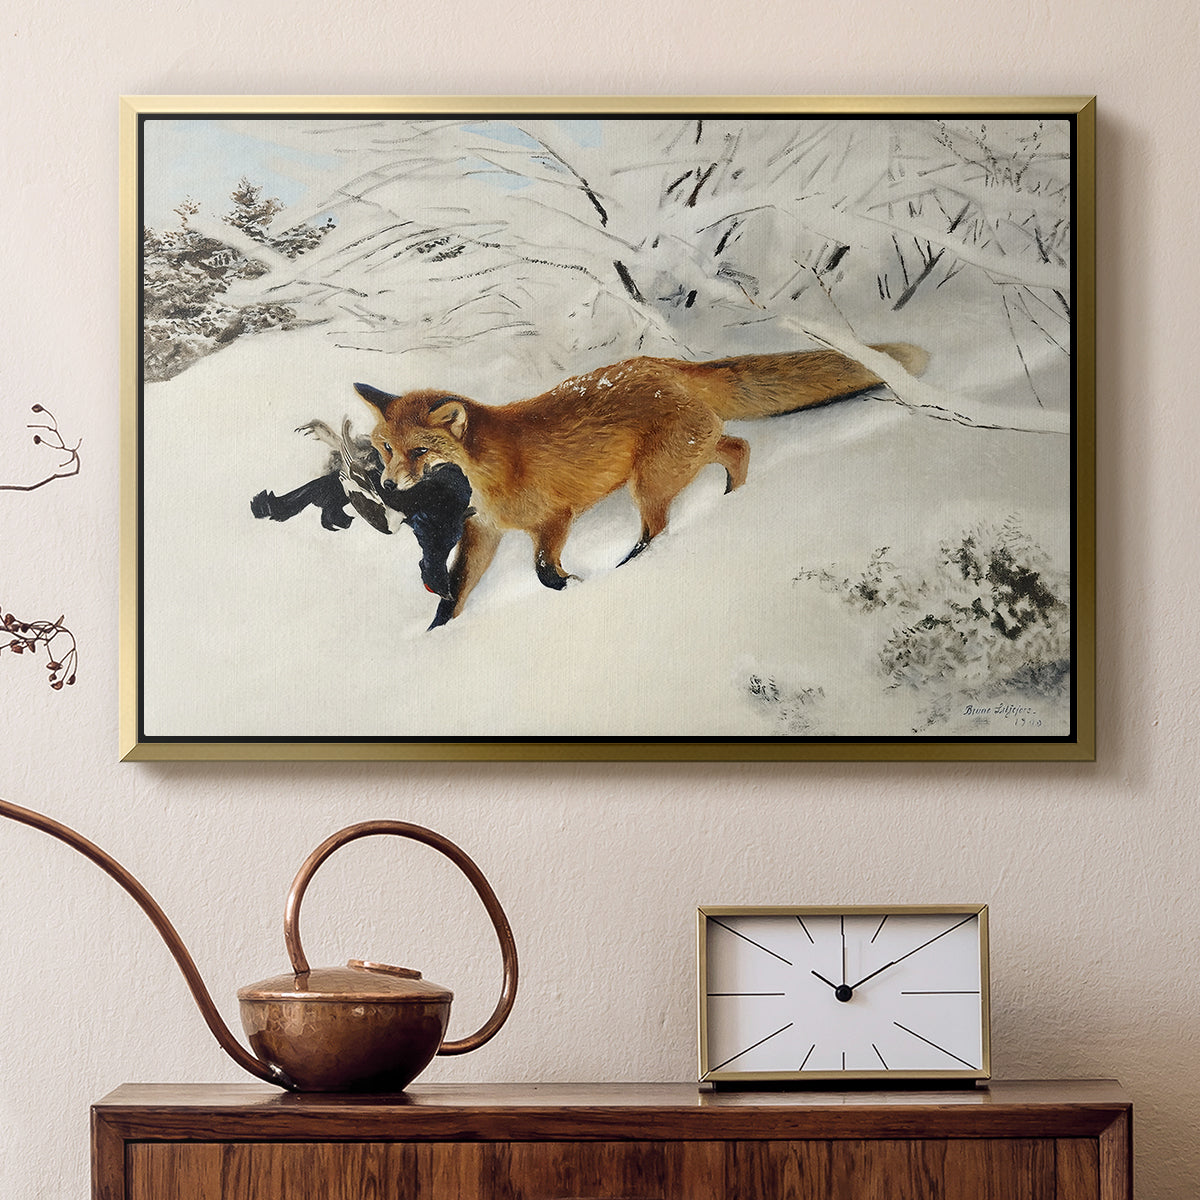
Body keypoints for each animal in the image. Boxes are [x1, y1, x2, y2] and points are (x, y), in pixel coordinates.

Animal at [355, 342, 929, 627]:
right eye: (385, 448)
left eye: (419, 452)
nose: (388, 483)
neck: (489, 472)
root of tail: (666, 364)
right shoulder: (483, 532)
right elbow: (454, 593)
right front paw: (437, 635)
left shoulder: (554, 518)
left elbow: (543, 572)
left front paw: (575, 586)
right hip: (682, 459)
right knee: (738, 447)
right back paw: (731, 500)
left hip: (650, 482)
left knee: (660, 527)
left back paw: (635, 564)